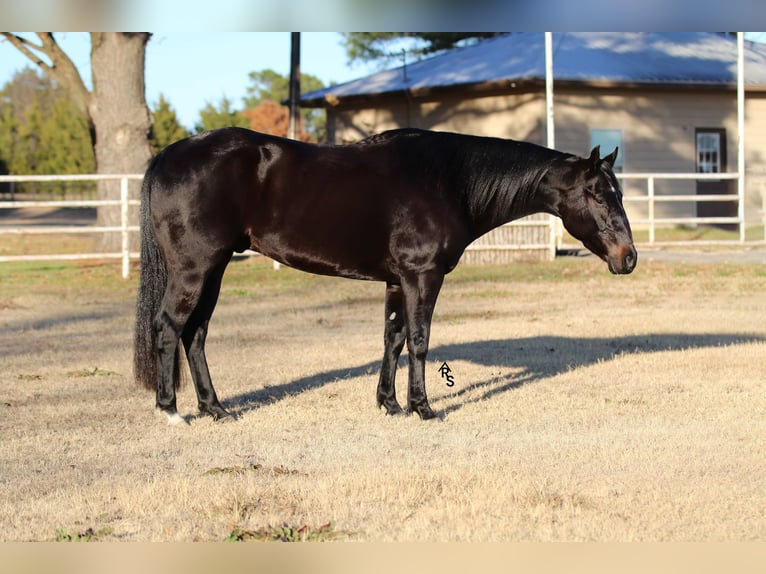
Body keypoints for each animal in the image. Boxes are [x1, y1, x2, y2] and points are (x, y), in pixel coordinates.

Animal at [135, 130, 640, 428]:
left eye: (617, 193)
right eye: (597, 195)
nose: (629, 257)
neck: (449, 179)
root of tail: (167, 155)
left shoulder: (397, 281)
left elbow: (392, 337)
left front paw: (390, 404)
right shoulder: (422, 276)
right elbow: (419, 340)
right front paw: (424, 408)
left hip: (216, 269)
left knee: (196, 334)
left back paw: (215, 409)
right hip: (196, 269)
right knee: (168, 328)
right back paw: (172, 412)